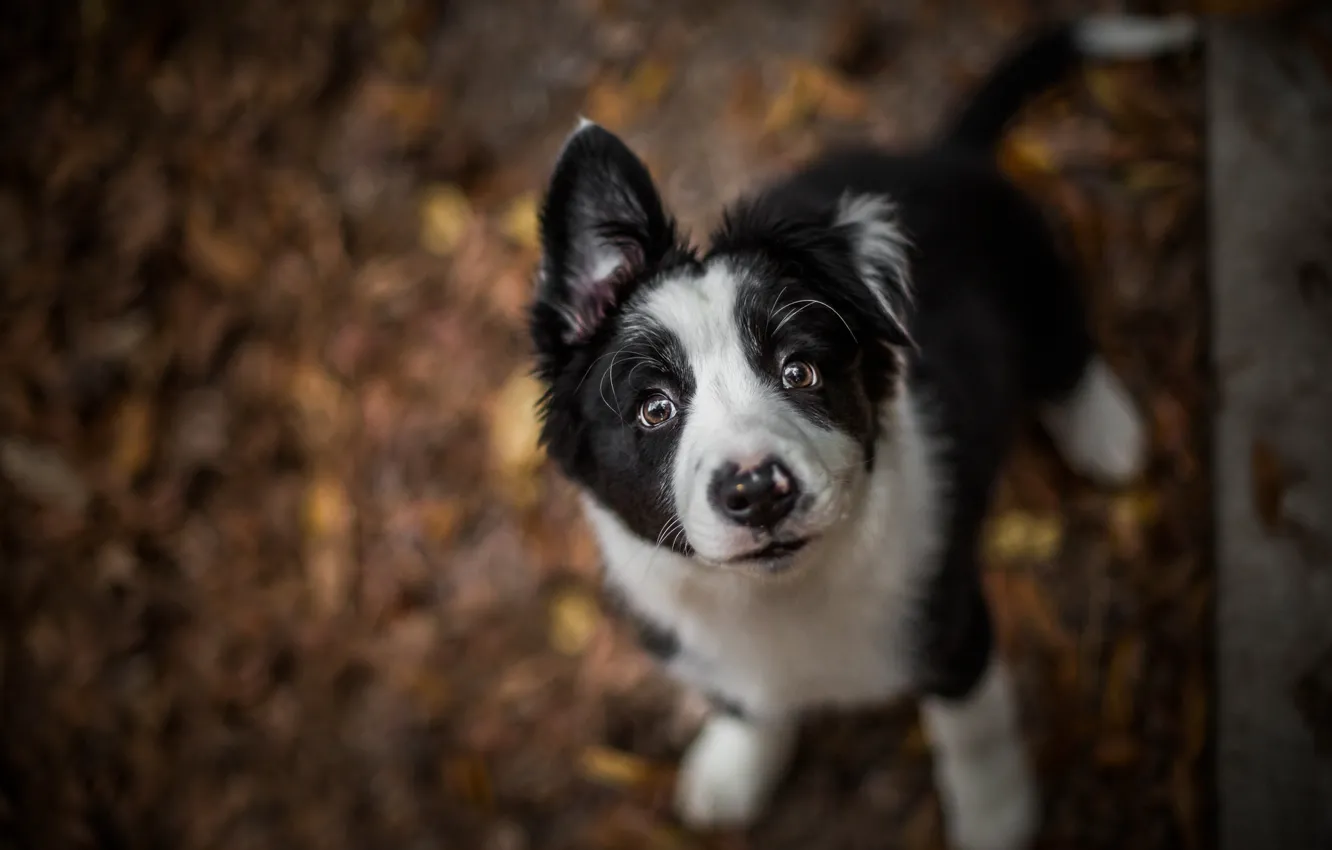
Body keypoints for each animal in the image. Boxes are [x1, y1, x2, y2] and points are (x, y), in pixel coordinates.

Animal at [527, 16, 1198, 850]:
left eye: (800, 371)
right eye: (654, 409)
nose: (757, 491)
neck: (781, 597)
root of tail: (944, 153)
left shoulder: (953, 625)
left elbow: (975, 737)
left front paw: (997, 821)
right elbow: (745, 703)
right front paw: (734, 770)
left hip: (1035, 271)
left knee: (1065, 347)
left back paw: (1106, 431)